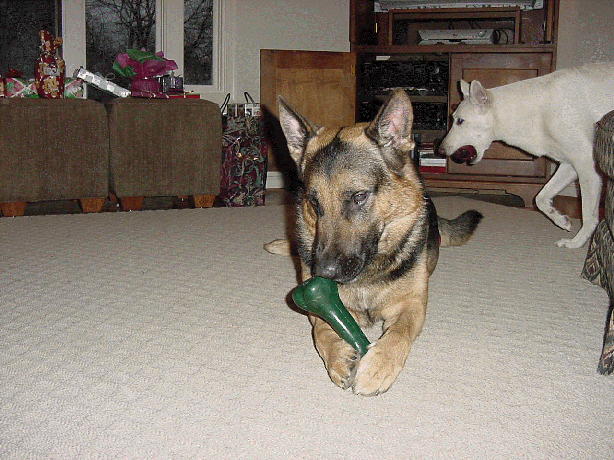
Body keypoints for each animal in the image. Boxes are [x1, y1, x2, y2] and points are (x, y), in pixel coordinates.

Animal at [266, 89, 482, 395]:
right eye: (314, 202)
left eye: (359, 197)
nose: (325, 273)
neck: (369, 272)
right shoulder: (319, 304)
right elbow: (322, 330)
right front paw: (338, 356)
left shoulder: (412, 304)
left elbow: (399, 332)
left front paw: (378, 366)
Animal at [439, 62, 614, 249]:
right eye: (453, 119)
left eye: (460, 121)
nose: (440, 150)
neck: (536, 112)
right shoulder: (569, 165)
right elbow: (541, 198)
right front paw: (560, 219)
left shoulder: (586, 164)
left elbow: (588, 215)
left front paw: (576, 243)